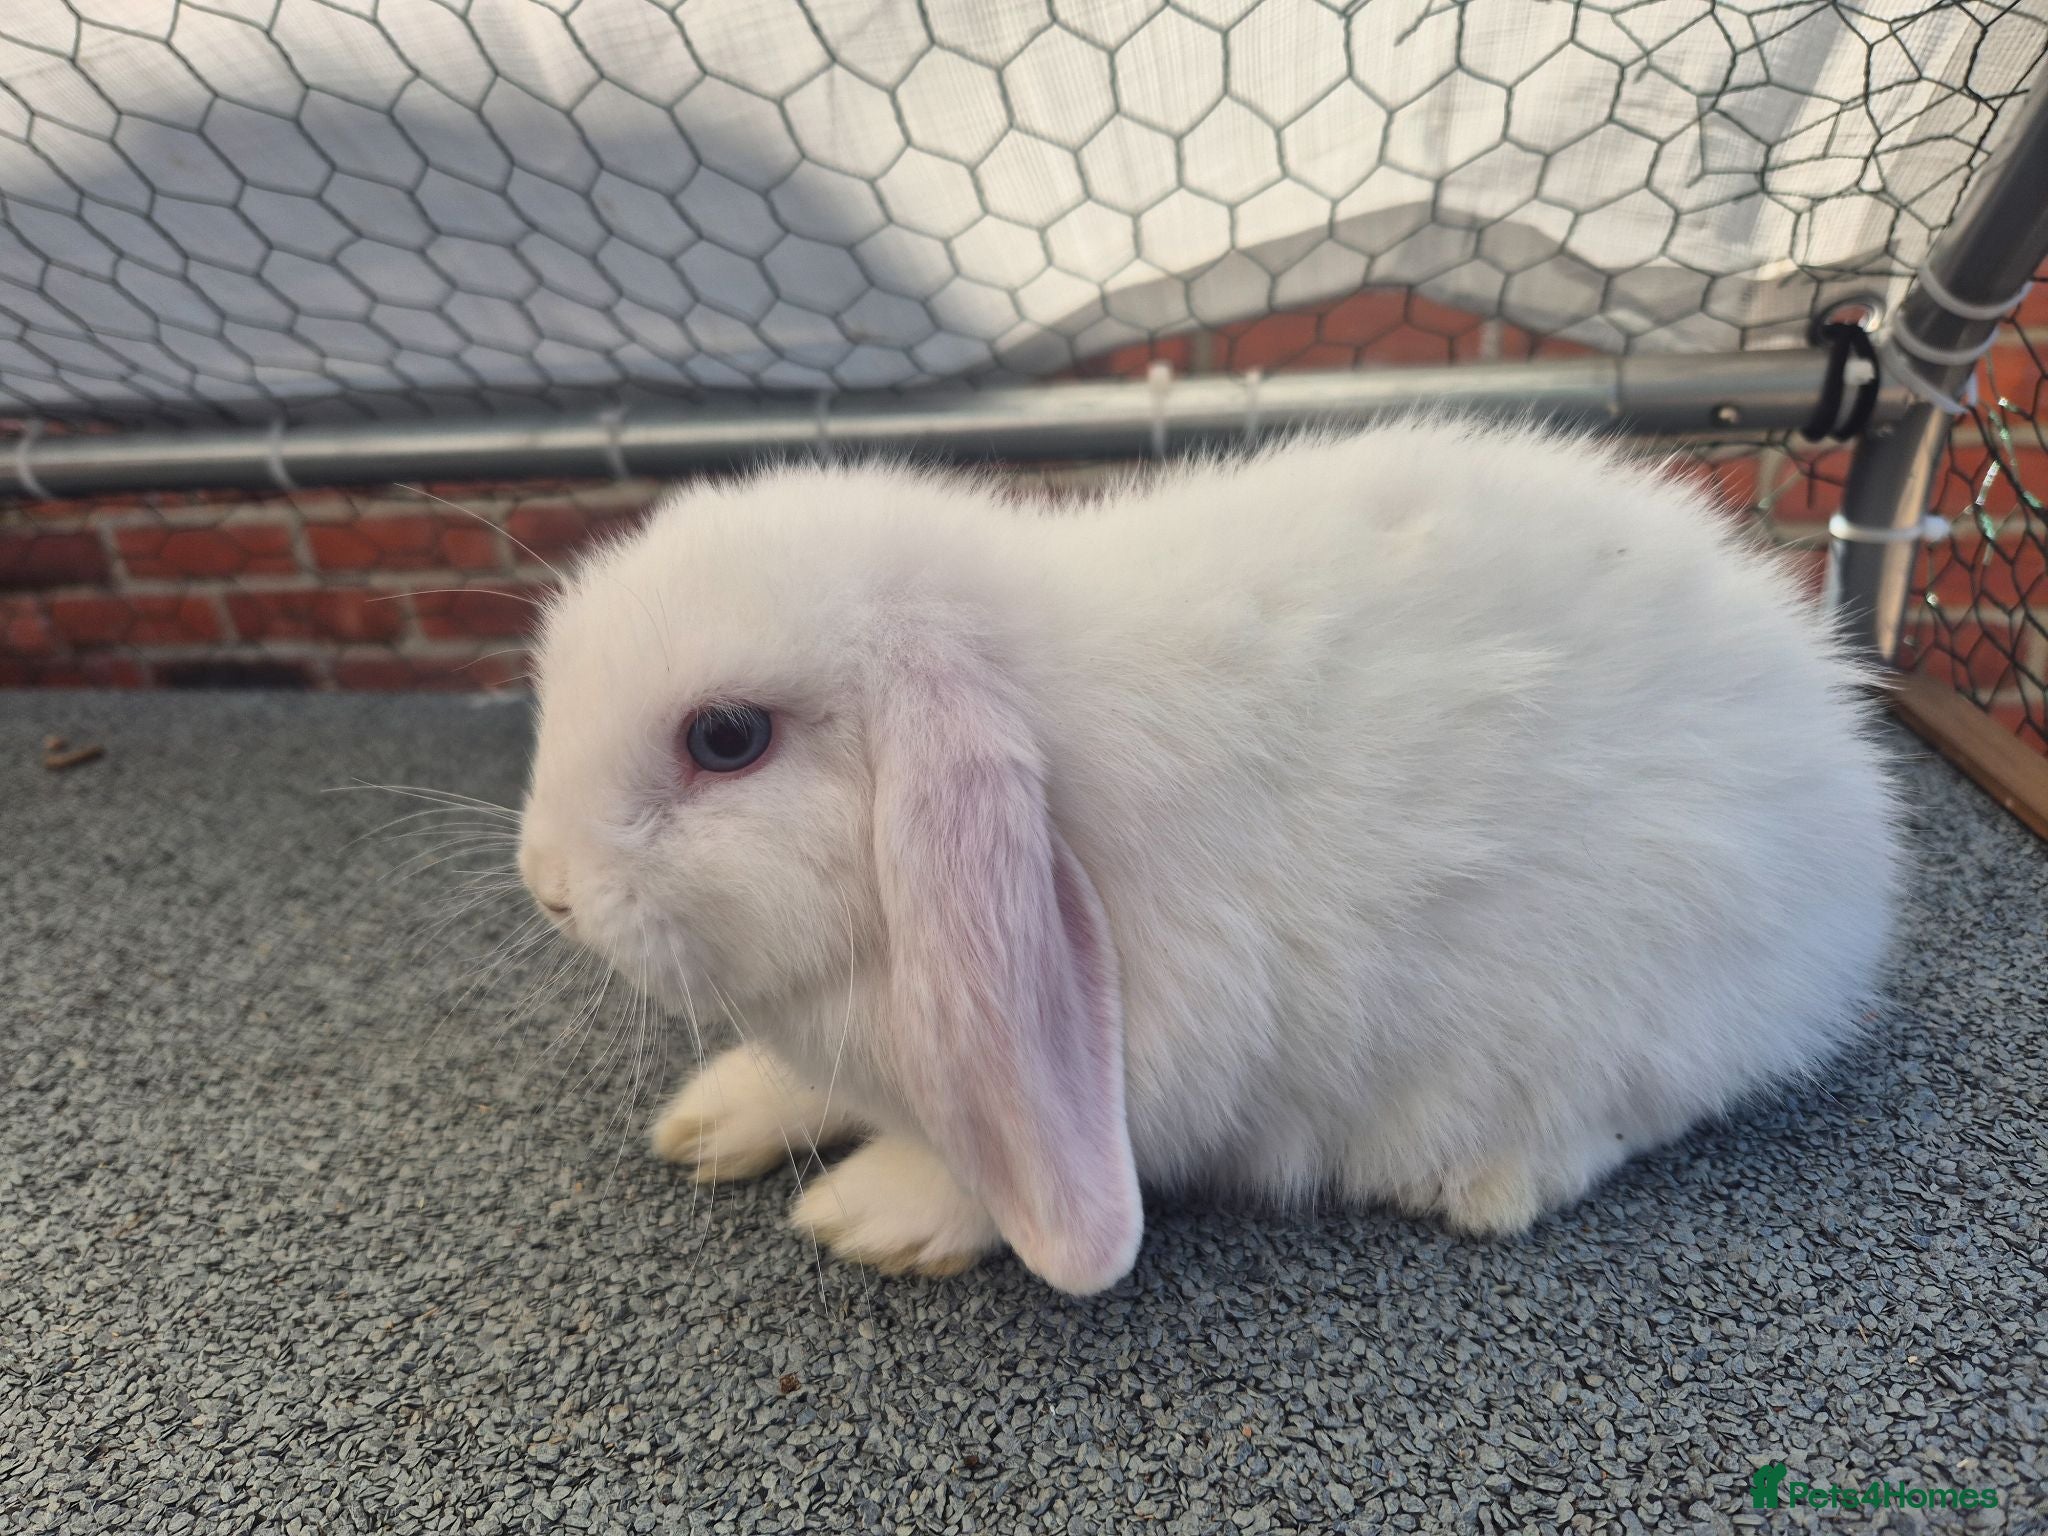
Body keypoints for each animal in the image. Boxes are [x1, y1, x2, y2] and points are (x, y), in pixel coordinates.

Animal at [515, 419, 1901, 1295]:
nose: (549, 888)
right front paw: (714, 1117)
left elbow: (1009, 1162)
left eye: (726, 738)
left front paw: (872, 1214)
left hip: (1622, 1002)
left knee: (1621, 1120)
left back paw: (1479, 1183)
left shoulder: (1147, 1053)